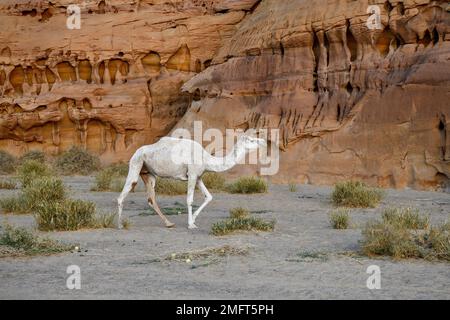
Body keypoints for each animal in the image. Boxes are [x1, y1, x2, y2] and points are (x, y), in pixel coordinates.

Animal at [116, 131, 268, 229]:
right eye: (251, 140)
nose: (264, 141)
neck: (206, 159)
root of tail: (136, 152)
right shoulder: (193, 174)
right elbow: (189, 200)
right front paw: (190, 224)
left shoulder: (198, 176)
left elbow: (209, 197)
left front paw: (194, 219)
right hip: (136, 164)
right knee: (123, 193)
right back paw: (120, 224)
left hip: (148, 173)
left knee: (151, 198)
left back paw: (169, 223)